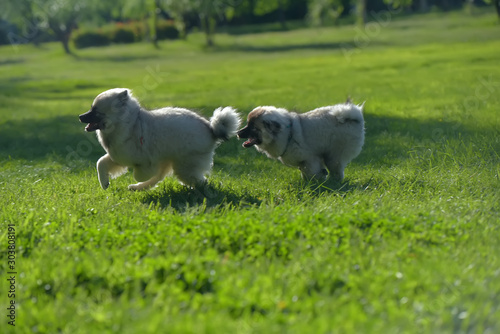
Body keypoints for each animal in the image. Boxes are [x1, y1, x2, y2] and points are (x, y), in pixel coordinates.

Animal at [78, 88, 240, 192]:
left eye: (95, 111)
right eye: (91, 109)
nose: (80, 116)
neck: (128, 123)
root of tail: (211, 129)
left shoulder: (146, 161)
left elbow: (139, 173)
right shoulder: (118, 157)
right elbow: (100, 163)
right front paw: (104, 183)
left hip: (183, 167)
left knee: (200, 182)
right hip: (175, 163)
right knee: (161, 177)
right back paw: (138, 188)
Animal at [236, 101, 366, 181]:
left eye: (252, 127)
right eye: (247, 124)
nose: (238, 132)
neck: (287, 133)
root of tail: (353, 117)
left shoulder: (310, 159)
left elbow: (312, 173)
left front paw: (314, 183)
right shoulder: (304, 162)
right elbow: (306, 173)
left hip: (334, 156)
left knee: (337, 170)